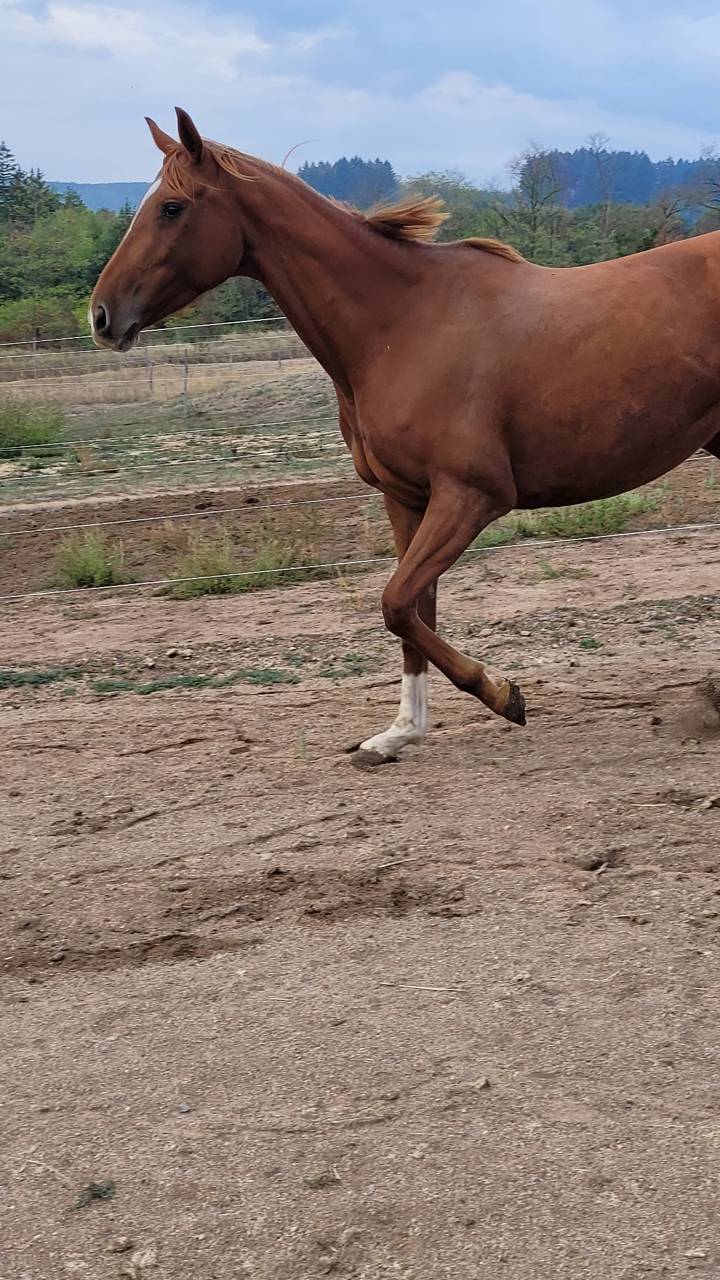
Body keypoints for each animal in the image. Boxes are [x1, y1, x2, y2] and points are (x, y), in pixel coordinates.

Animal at [91, 108, 720, 765]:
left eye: (171, 208)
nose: (101, 315)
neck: (400, 326)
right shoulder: (406, 498)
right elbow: (415, 614)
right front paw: (399, 733)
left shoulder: (473, 496)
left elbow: (395, 604)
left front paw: (502, 693)